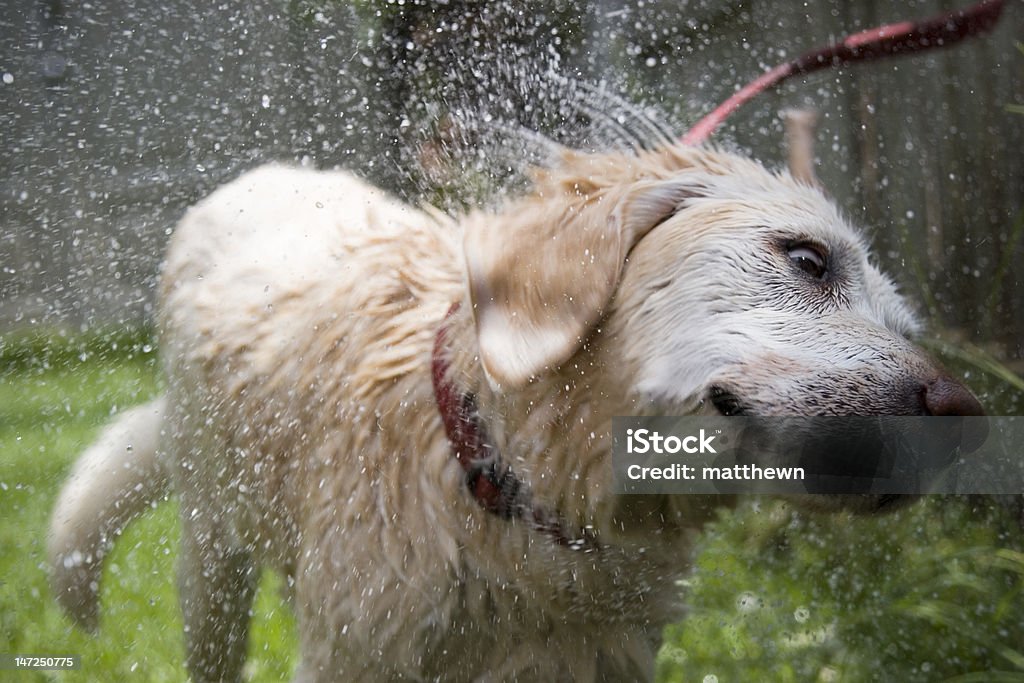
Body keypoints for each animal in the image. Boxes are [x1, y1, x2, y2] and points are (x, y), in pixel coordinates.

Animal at [48, 141, 983, 679]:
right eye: (807, 259)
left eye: (905, 326)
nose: (965, 410)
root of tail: (261, 176)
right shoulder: (355, 649)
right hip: (213, 555)